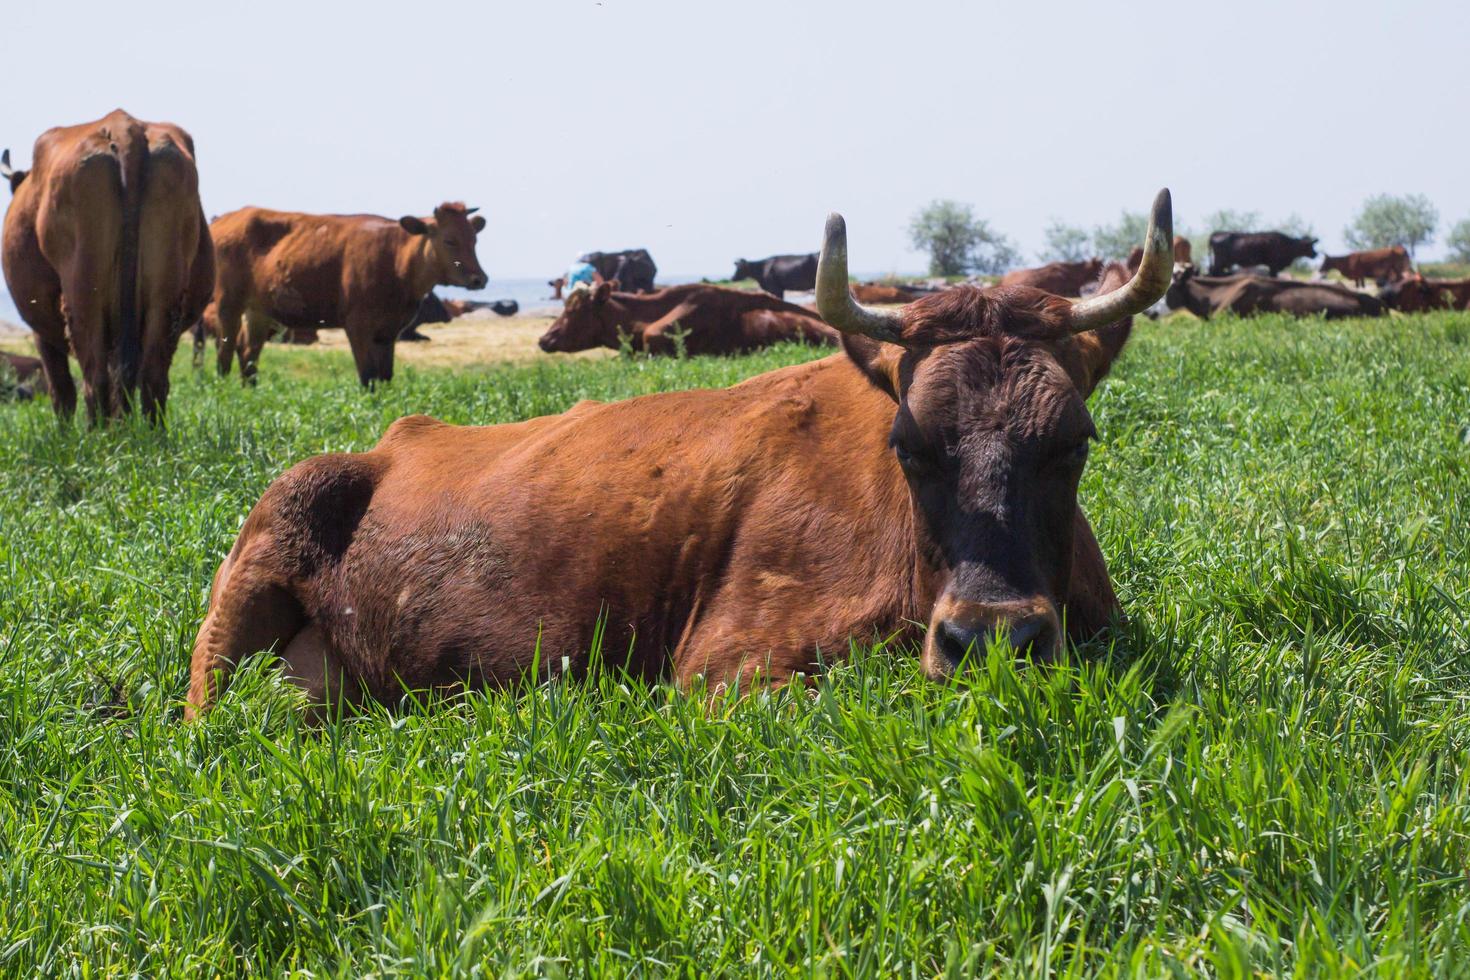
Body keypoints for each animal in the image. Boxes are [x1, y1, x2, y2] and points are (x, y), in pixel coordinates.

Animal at [204, 202, 488, 387]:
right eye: (450, 240)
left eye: (474, 240)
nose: (480, 278)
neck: (396, 261)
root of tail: (226, 218)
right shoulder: (357, 325)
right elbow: (368, 376)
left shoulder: (389, 330)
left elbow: (385, 376)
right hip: (228, 302)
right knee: (225, 348)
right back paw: (223, 388)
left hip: (260, 311)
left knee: (248, 351)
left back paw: (250, 388)